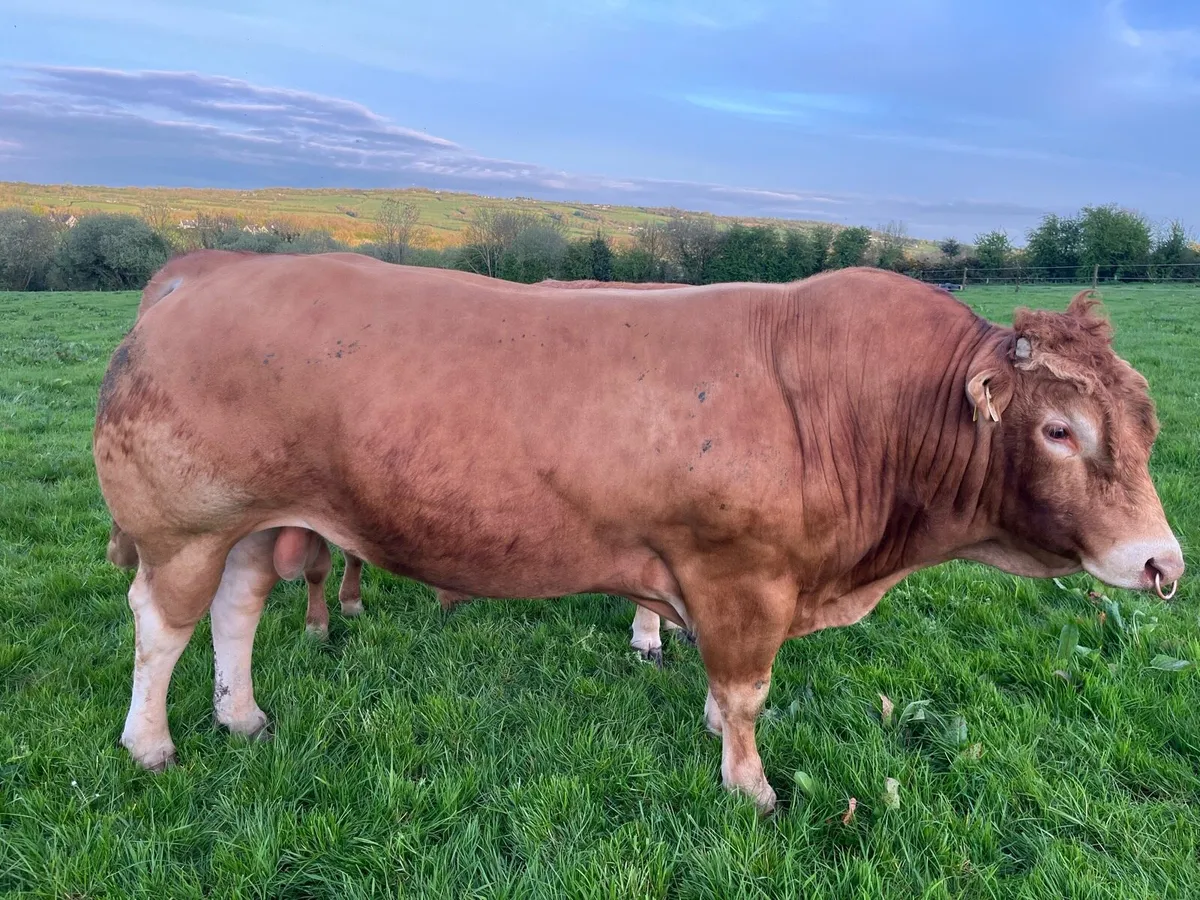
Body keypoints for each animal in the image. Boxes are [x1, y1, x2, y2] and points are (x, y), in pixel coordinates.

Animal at [92, 254, 1183, 812]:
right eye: (1059, 429)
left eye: (1147, 425)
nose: (1164, 563)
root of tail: (198, 274)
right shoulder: (741, 574)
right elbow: (745, 692)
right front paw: (749, 784)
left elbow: (718, 682)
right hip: (183, 523)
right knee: (160, 626)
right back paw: (149, 743)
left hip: (253, 523)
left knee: (234, 612)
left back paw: (241, 716)